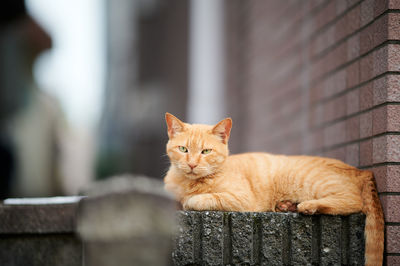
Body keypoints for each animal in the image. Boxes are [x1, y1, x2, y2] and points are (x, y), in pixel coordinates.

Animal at [163, 112, 384, 266]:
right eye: (183, 149)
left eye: (206, 151)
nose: (192, 164)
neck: (187, 183)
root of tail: (361, 171)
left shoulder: (243, 200)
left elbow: (202, 198)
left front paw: (189, 200)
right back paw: (286, 206)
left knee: (354, 202)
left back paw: (308, 206)